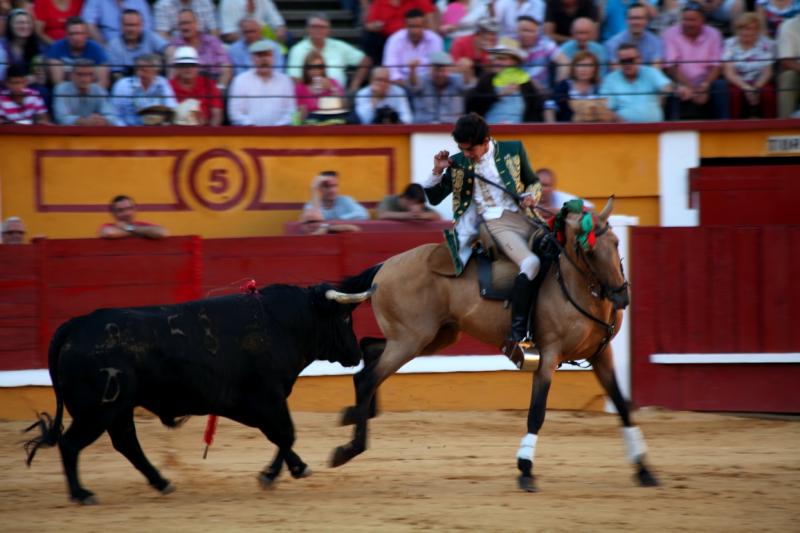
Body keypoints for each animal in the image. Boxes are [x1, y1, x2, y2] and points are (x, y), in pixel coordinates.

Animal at [24, 278, 376, 502]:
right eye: (345, 318)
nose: (356, 353)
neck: (283, 323)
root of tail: (75, 325)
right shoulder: (265, 398)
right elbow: (285, 434)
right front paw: (279, 473)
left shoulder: (254, 403)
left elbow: (281, 436)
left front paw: (288, 470)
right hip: (97, 410)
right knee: (71, 444)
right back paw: (82, 494)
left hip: (118, 408)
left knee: (126, 443)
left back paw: (161, 482)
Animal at [334, 198, 660, 490]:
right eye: (589, 251)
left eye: (616, 243)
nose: (620, 296)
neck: (573, 285)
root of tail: (384, 265)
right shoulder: (549, 355)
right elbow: (537, 412)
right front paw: (525, 469)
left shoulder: (602, 355)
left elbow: (623, 406)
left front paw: (644, 469)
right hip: (410, 340)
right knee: (367, 378)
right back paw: (347, 449)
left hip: (431, 337)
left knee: (370, 351)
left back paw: (353, 415)